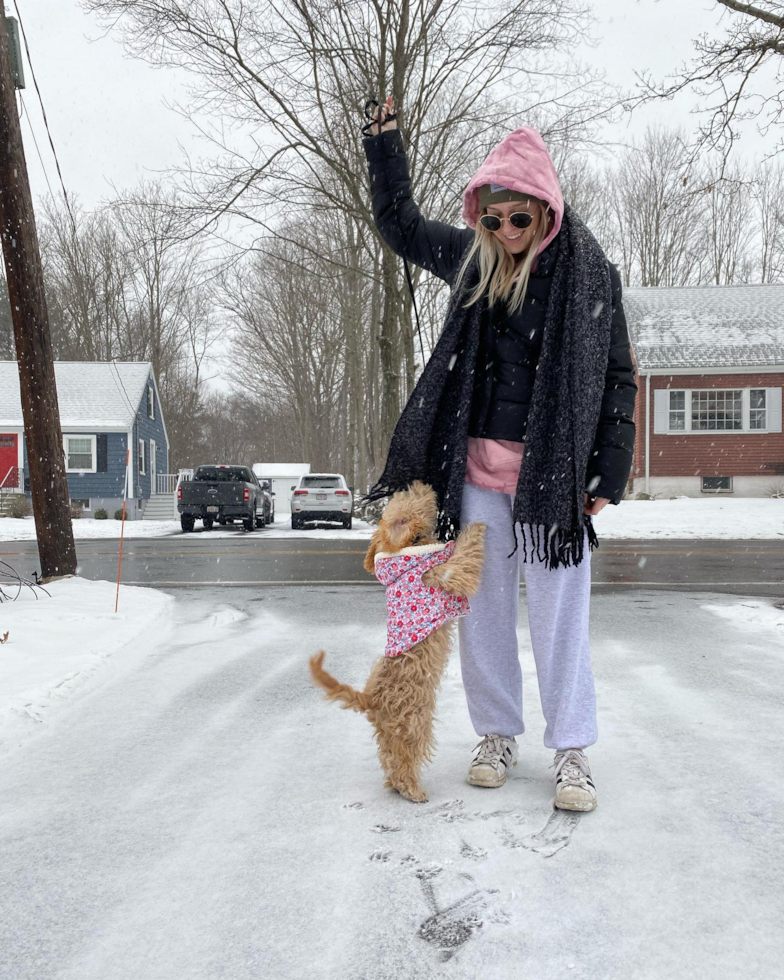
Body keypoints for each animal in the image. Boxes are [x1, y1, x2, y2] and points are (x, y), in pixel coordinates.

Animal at [308, 480, 484, 804]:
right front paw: (476, 528)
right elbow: (463, 556)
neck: (407, 550)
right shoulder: (446, 574)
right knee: (405, 758)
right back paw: (413, 790)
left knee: (388, 757)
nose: (421, 482)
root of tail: (371, 699)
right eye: (410, 498)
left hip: (393, 730)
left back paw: (395, 785)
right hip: (414, 724)